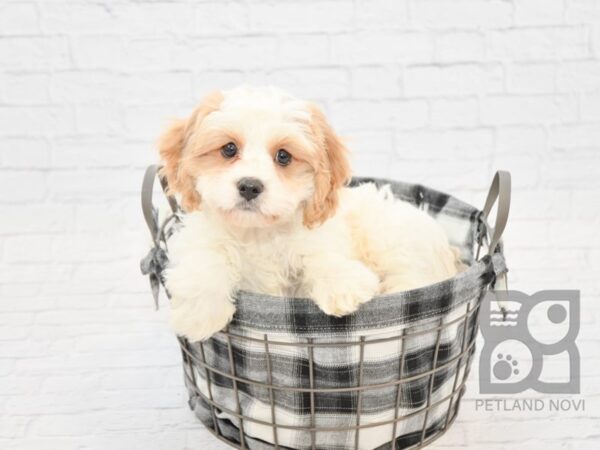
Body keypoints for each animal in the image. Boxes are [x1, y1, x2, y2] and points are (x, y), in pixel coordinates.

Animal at [158, 87, 460, 342]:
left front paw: (343, 285)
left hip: (395, 242)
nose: (250, 186)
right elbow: (205, 259)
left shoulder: (321, 237)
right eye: (229, 149)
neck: (258, 233)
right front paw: (200, 315)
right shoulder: (199, 238)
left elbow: (320, 255)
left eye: (283, 156)